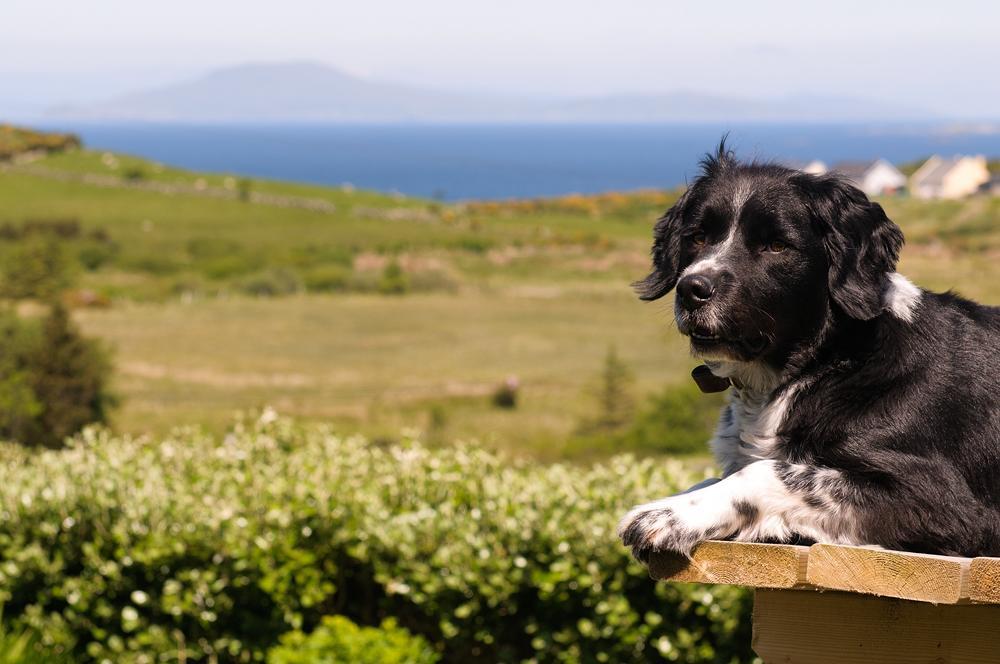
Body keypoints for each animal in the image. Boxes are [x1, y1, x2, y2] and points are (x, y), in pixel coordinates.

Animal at [616, 144, 1000, 560]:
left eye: (777, 245)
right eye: (698, 237)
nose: (692, 289)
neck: (832, 360)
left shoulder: (947, 502)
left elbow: (766, 471)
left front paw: (668, 515)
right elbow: (715, 476)